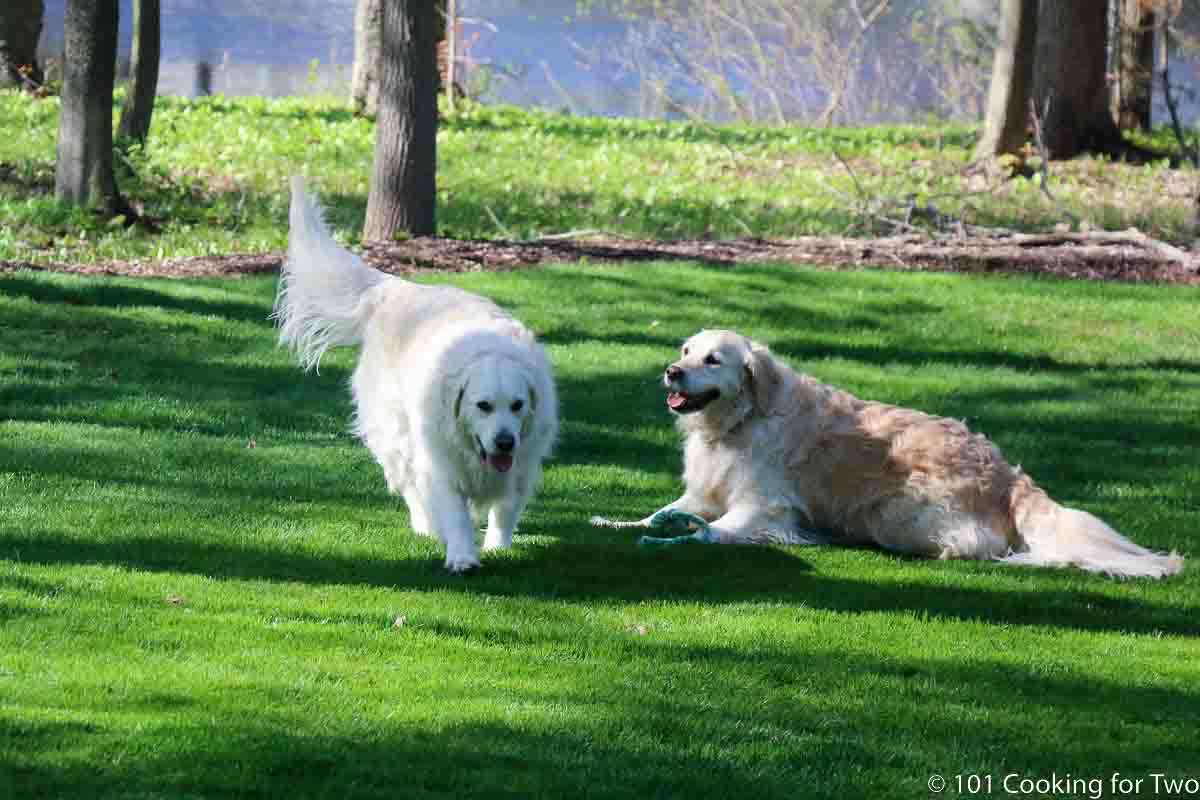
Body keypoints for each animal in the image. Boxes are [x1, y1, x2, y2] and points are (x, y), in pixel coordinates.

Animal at [274, 178, 556, 573]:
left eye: (517, 405)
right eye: (482, 406)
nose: (504, 442)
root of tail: (396, 289)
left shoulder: (522, 463)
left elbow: (505, 509)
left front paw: (497, 547)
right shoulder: (440, 462)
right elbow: (454, 512)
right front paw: (462, 555)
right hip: (397, 435)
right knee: (410, 487)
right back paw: (426, 526)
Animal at [590, 328, 1180, 578]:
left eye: (713, 360)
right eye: (685, 350)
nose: (672, 370)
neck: (738, 422)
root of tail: (1010, 476)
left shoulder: (763, 508)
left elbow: (711, 531)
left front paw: (672, 540)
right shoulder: (704, 491)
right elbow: (664, 512)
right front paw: (616, 522)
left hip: (897, 511)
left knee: (977, 546)